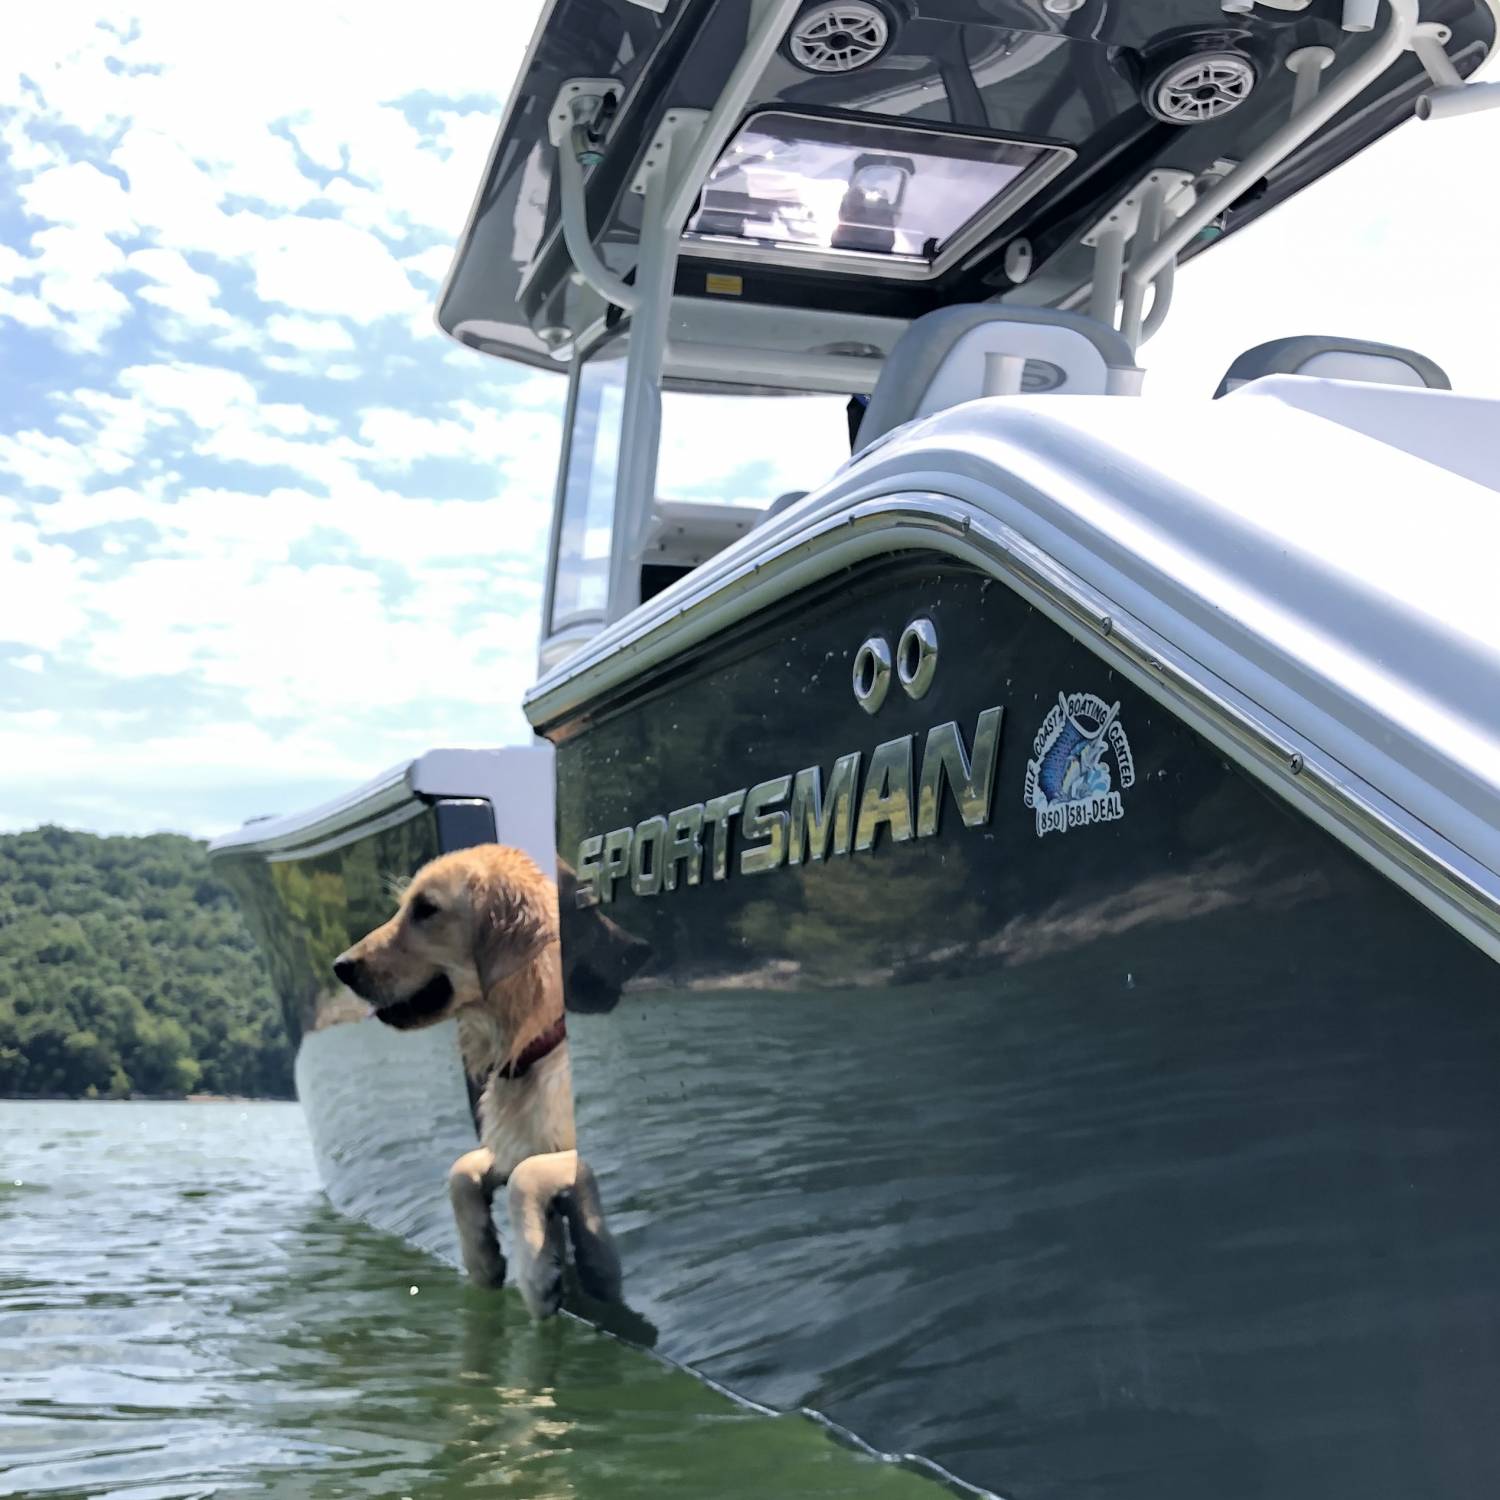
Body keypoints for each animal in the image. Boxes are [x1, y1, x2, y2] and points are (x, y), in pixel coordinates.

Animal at [331, 852, 642, 1320]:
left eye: (426, 909)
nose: (341, 966)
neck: (532, 1045)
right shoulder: (510, 1143)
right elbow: (461, 1170)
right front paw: (482, 1256)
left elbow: (526, 1177)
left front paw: (541, 1274)